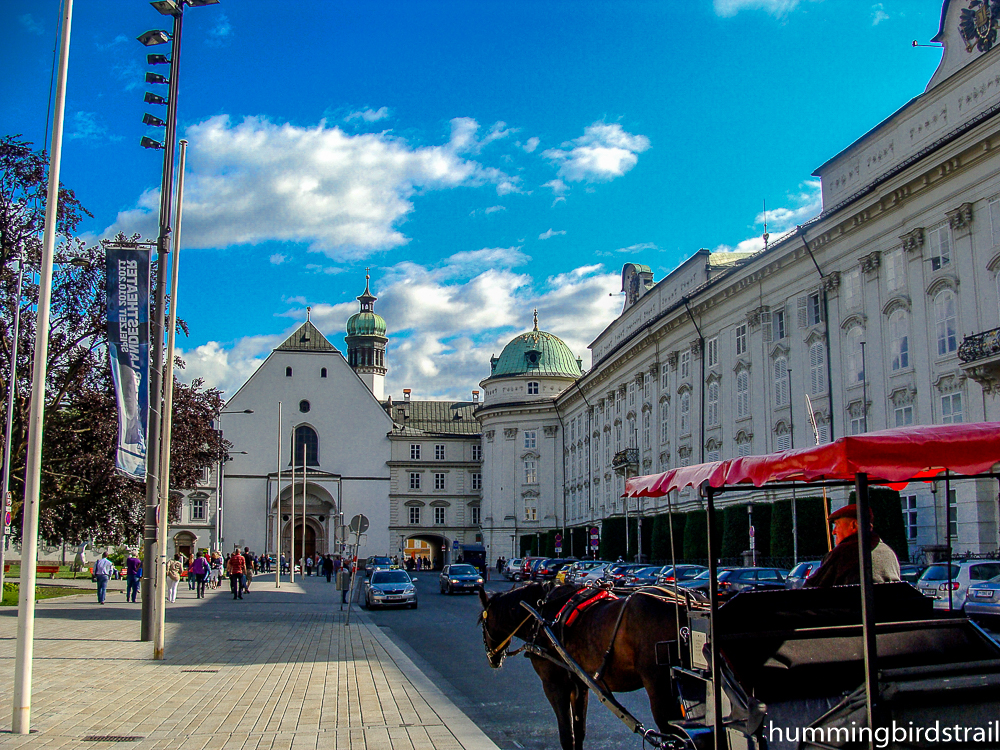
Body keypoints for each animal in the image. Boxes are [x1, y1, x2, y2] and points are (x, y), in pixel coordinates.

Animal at [478, 584, 688, 750]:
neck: (542, 614)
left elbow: (566, 735)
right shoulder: (579, 683)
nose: (491, 658)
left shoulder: (554, 684)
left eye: (482, 623)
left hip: (660, 691)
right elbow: (579, 732)